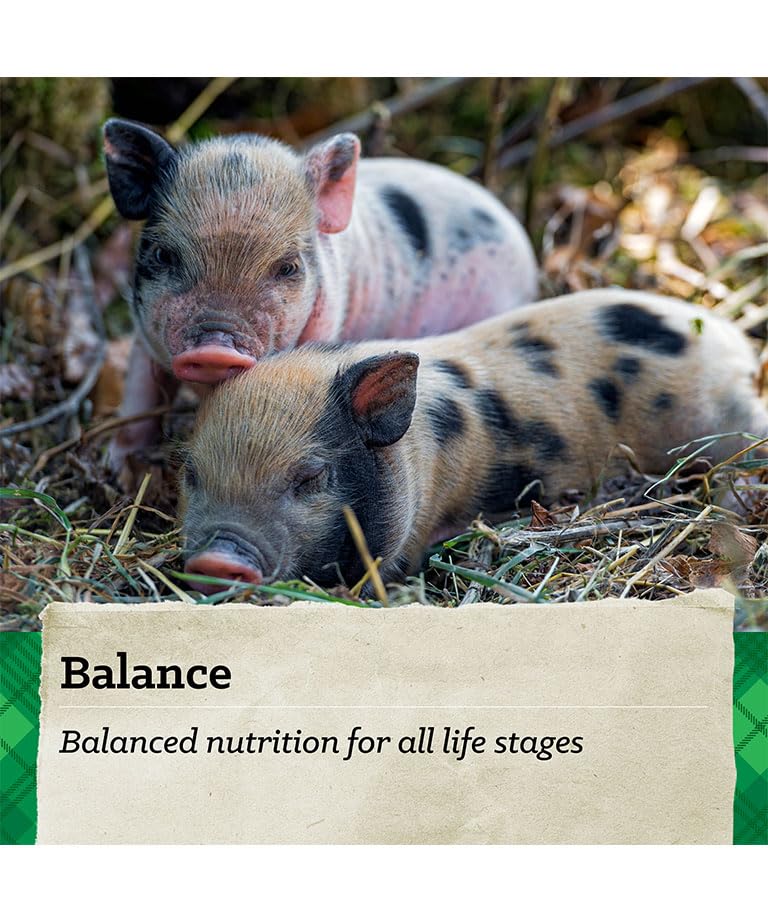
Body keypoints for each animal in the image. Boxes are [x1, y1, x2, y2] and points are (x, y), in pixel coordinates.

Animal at [102, 118, 538, 470]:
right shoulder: (143, 338)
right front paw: (116, 468)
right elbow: (138, 399)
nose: (215, 346)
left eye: (288, 267)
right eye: (164, 254)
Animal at [178, 289, 768, 593]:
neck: (420, 454)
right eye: (191, 474)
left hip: (721, 421)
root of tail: (732, 341)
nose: (217, 558)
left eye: (311, 477)